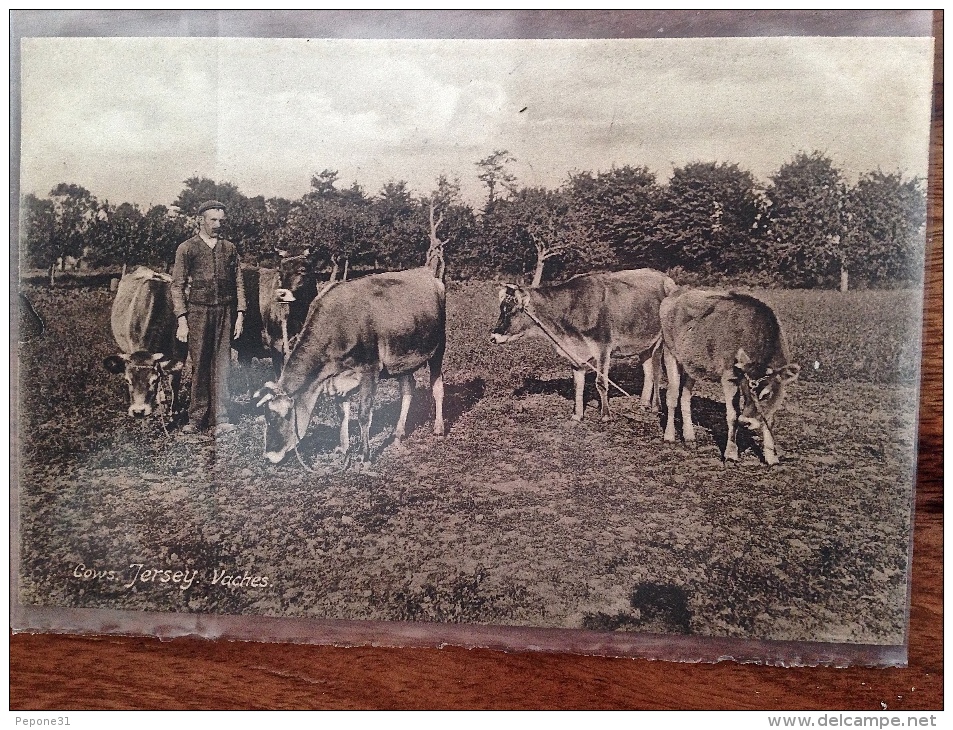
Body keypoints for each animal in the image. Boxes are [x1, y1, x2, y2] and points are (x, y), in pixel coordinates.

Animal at [104, 266, 186, 416]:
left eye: (153, 380)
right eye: (127, 380)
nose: (138, 411)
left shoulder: (180, 353)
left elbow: (174, 382)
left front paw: (175, 410)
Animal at [253, 264, 446, 464]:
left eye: (279, 417)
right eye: (265, 416)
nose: (269, 455)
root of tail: (426, 271)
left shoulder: (370, 369)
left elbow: (363, 414)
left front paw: (365, 455)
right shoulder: (336, 378)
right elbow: (342, 415)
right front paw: (344, 450)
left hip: (438, 347)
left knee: (437, 386)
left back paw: (438, 428)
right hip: (401, 359)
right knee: (407, 388)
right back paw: (398, 433)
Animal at [490, 268, 676, 420]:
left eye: (513, 311)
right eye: (501, 308)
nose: (493, 337)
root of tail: (667, 279)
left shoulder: (603, 348)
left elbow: (601, 383)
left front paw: (605, 415)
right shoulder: (575, 352)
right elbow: (577, 385)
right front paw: (577, 415)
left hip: (659, 341)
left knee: (657, 373)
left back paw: (655, 407)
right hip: (643, 344)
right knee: (648, 372)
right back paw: (643, 404)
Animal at [660, 288, 800, 464]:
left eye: (766, 394)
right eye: (746, 392)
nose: (746, 421)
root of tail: (676, 292)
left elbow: (770, 418)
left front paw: (771, 456)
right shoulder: (729, 376)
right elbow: (733, 416)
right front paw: (731, 453)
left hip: (692, 364)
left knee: (685, 396)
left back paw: (689, 436)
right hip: (670, 352)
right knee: (672, 396)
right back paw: (669, 436)